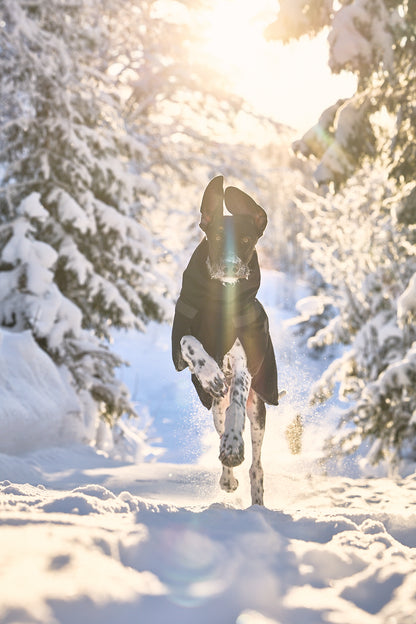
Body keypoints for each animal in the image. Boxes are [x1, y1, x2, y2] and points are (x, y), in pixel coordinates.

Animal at [171, 176, 278, 508]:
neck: (221, 297)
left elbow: (236, 407)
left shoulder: (243, 365)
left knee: (257, 464)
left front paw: (233, 446)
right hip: (215, 408)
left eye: (245, 239)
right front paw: (210, 374)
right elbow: (188, 341)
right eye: (217, 236)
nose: (230, 267)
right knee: (220, 419)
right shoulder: (181, 339)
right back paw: (227, 478)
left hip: (259, 411)